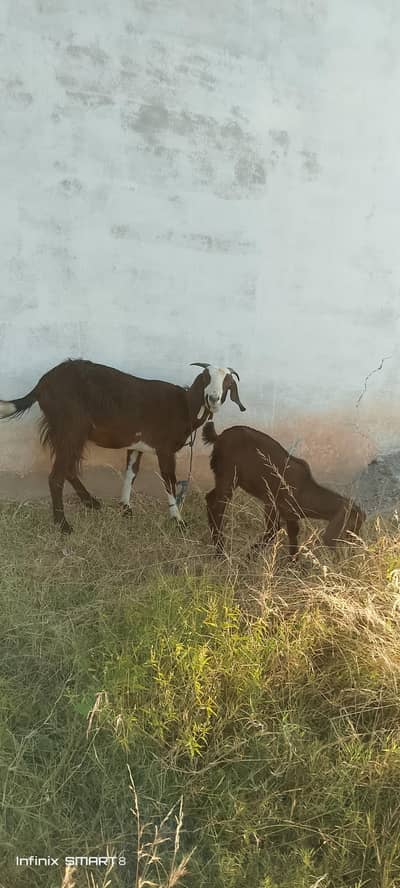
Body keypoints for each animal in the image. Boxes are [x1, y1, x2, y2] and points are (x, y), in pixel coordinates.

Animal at [0, 360, 245, 534]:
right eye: (205, 377)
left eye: (227, 384)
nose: (213, 398)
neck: (184, 406)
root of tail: (42, 386)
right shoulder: (164, 449)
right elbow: (169, 482)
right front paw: (178, 521)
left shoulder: (137, 446)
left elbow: (130, 474)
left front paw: (125, 507)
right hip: (70, 429)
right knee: (56, 476)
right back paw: (63, 525)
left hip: (69, 433)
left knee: (68, 468)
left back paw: (91, 502)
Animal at [202, 422, 365, 558]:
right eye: (353, 525)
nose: (356, 545)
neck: (305, 490)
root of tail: (218, 437)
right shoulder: (272, 504)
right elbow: (273, 530)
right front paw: (250, 555)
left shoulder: (291, 515)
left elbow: (292, 536)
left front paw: (294, 564)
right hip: (228, 475)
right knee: (217, 506)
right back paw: (220, 552)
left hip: (226, 478)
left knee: (210, 498)